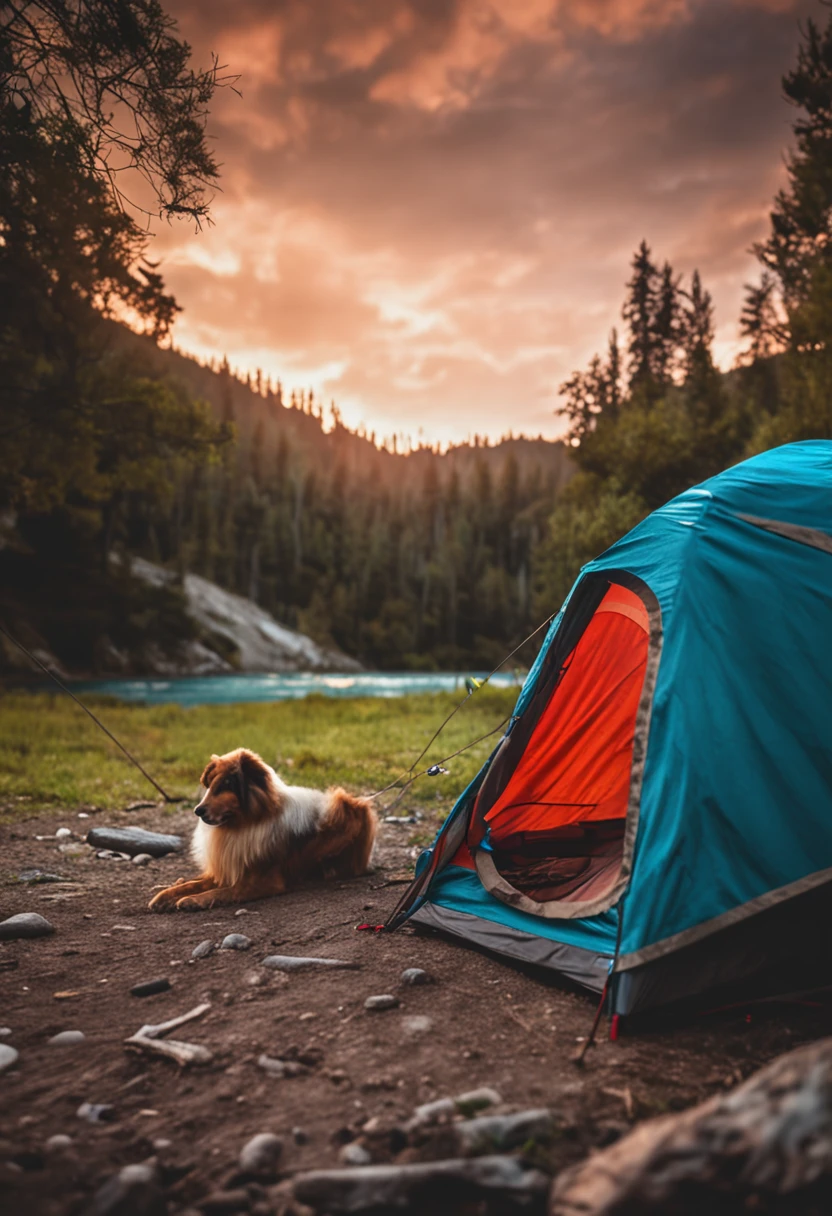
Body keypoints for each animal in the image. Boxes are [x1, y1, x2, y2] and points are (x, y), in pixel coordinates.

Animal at [149, 749, 377, 914]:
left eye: (224, 786)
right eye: (210, 786)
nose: (197, 810)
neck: (243, 825)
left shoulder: (264, 881)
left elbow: (223, 891)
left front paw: (192, 901)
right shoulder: (230, 867)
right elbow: (190, 885)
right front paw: (165, 896)